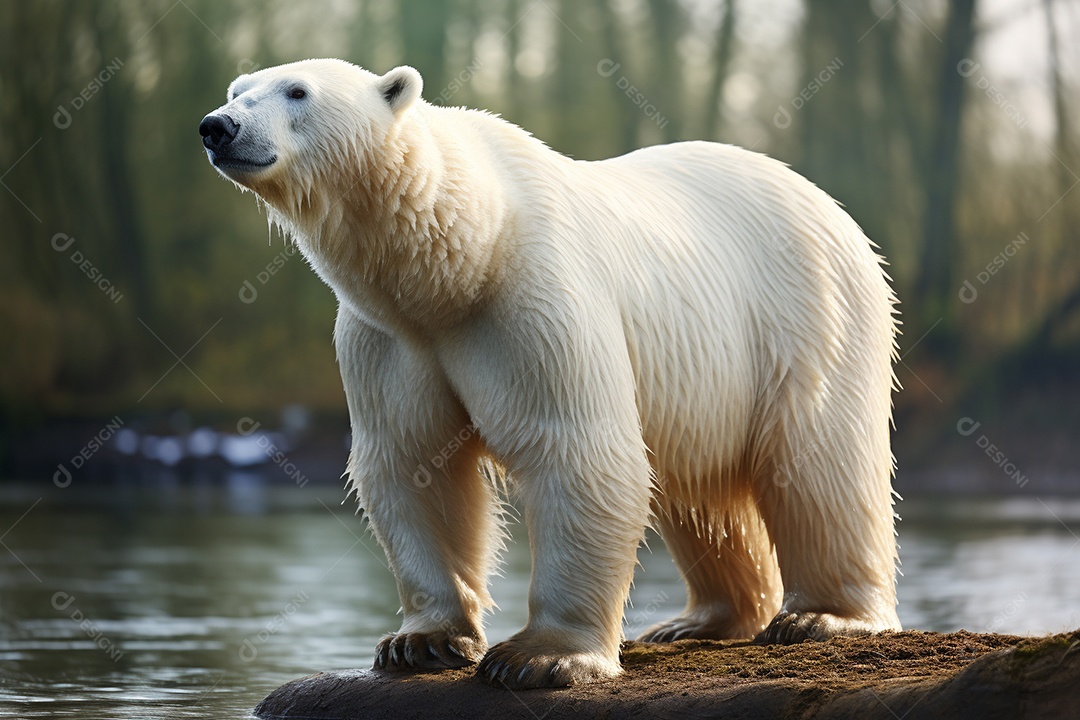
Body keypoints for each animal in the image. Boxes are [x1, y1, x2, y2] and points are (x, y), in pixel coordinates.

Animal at [200, 59, 901, 689]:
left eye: (297, 91)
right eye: (237, 88)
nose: (218, 126)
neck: (458, 261)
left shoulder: (535, 298)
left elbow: (575, 449)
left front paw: (539, 658)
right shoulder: (387, 338)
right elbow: (411, 462)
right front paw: (419, 642)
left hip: (808, 310)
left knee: (818, 459)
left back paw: (822, 616)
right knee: (699, 490)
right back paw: (700, 620)